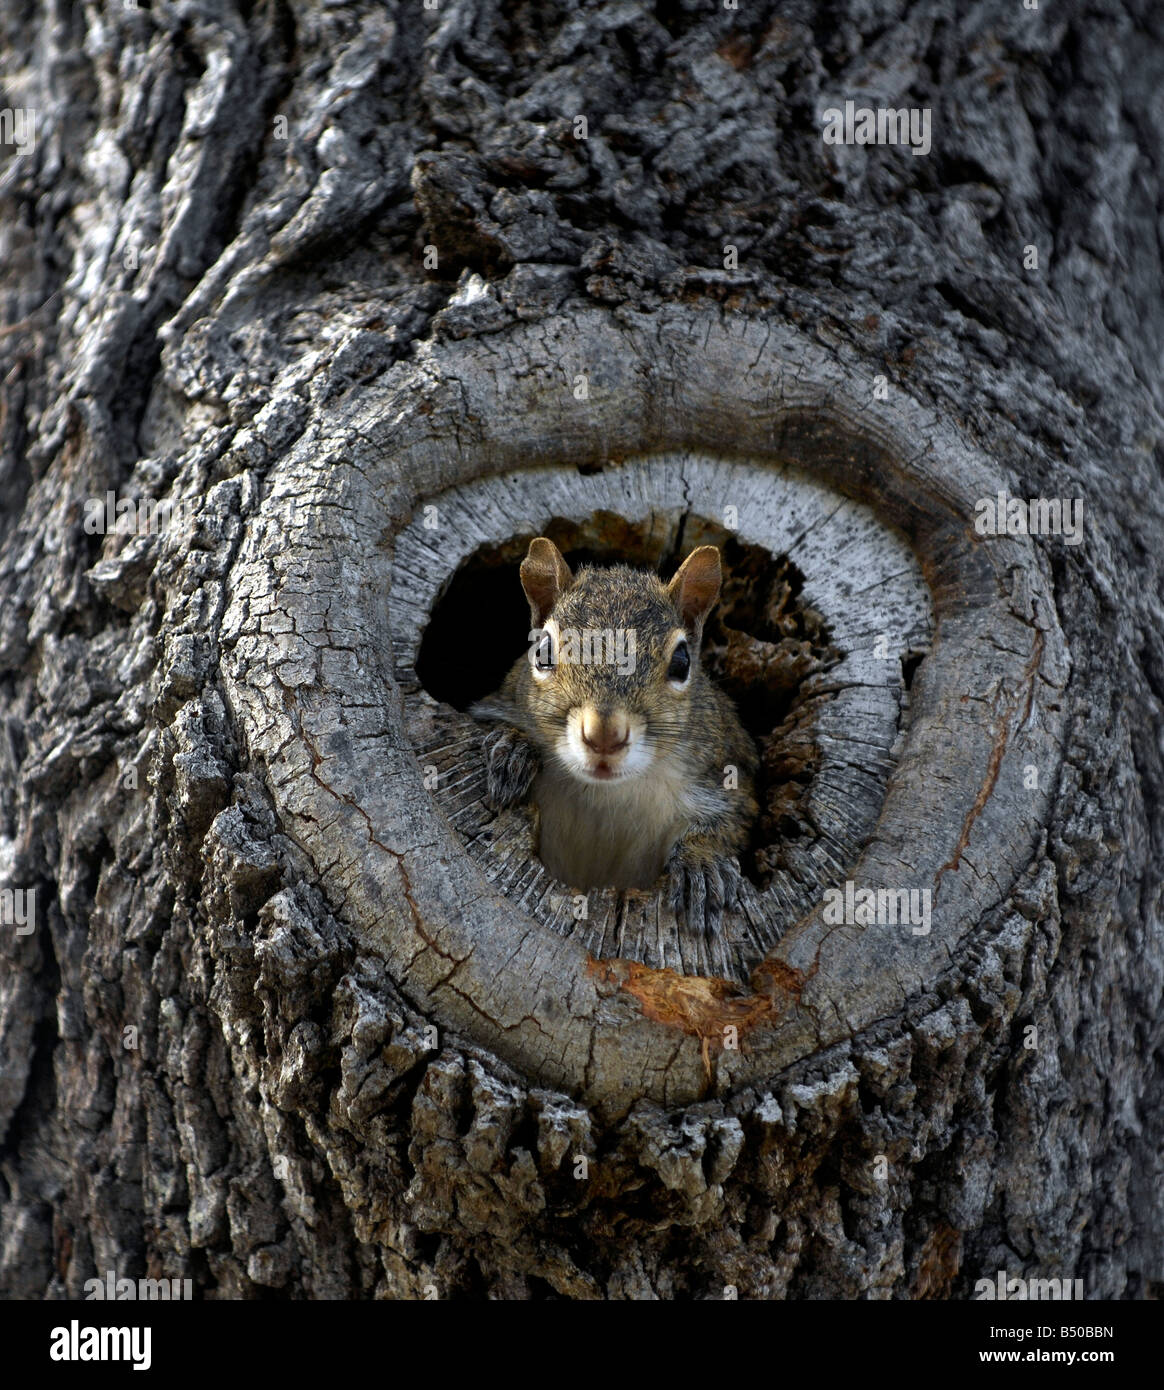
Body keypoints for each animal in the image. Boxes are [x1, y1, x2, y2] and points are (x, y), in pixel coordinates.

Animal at [470, 537, 758, 936]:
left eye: (682, 662)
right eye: (542, 651)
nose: (603, 736)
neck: (608, 794)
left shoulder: (726, 770)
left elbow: (733, 820)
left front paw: (702, 862)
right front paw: (513, 748)